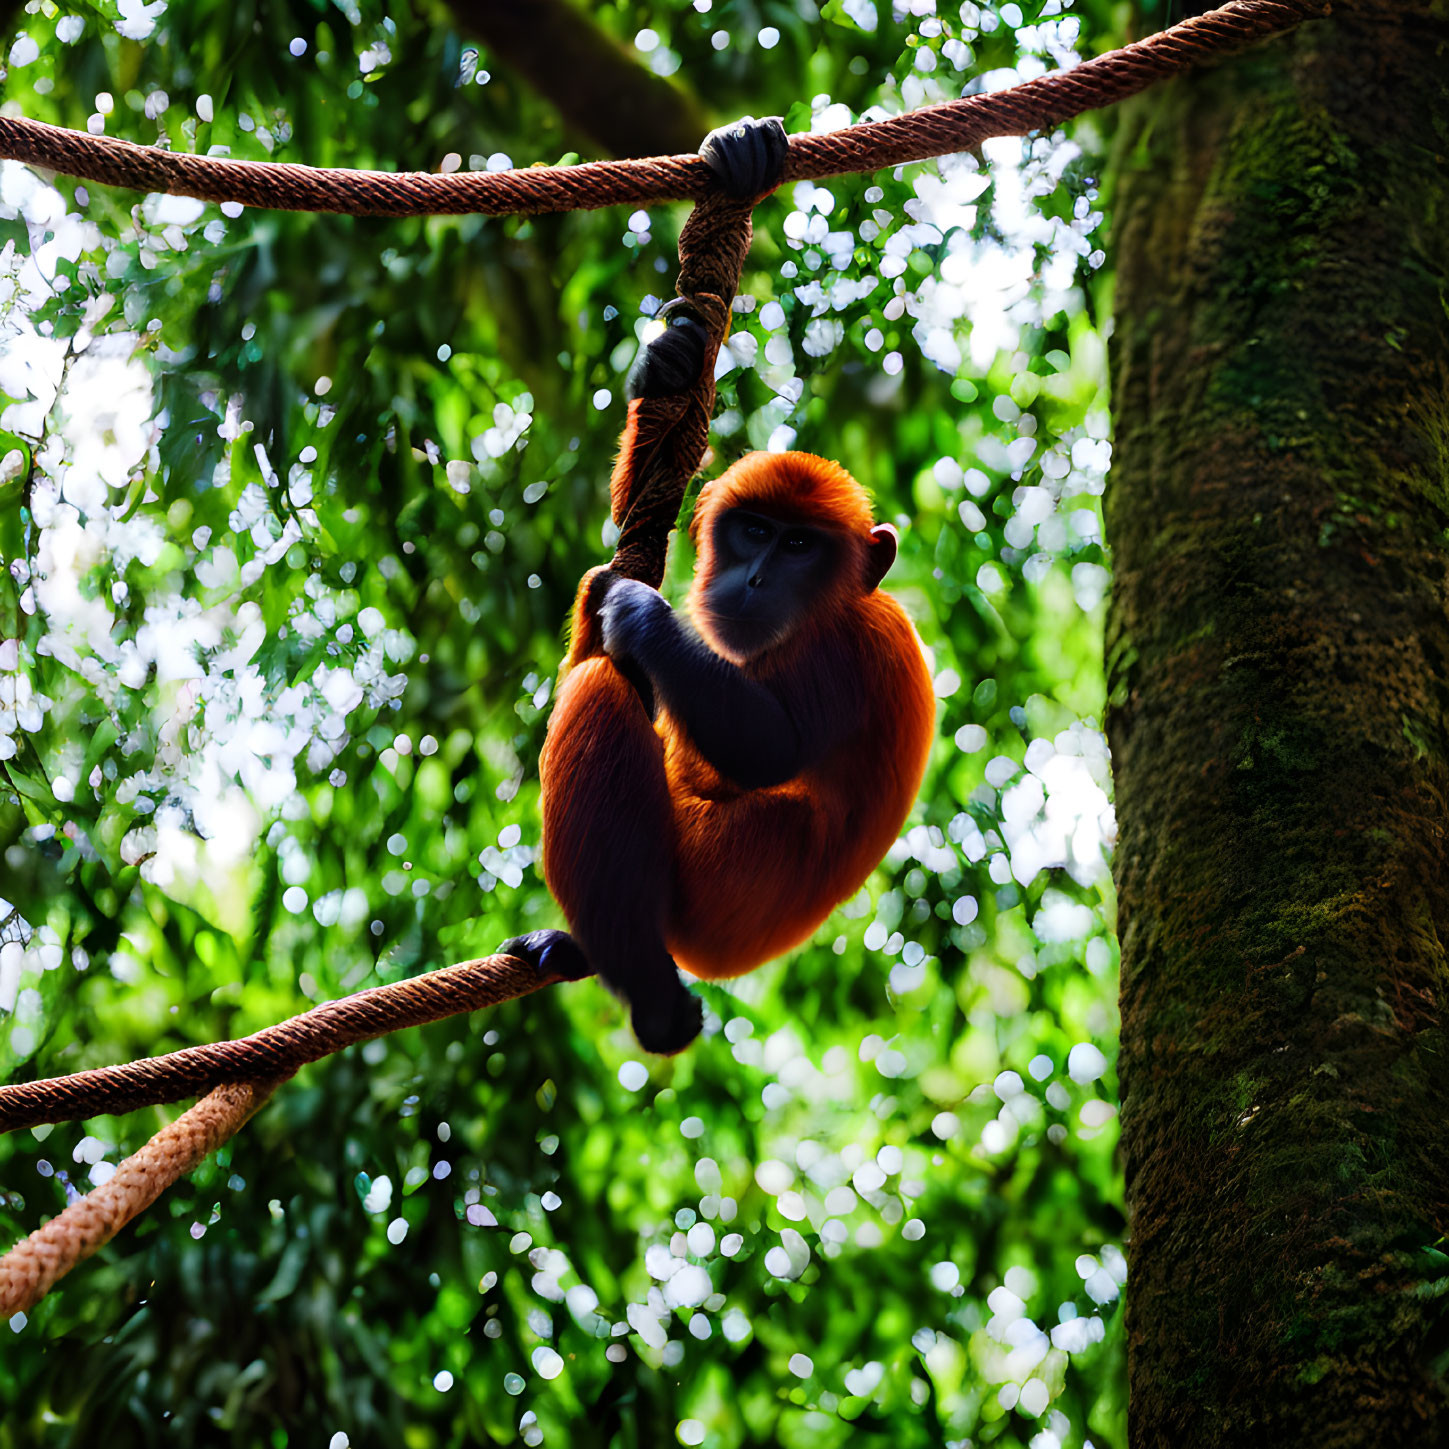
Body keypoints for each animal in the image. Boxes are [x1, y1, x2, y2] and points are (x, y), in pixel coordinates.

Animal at [504, 115, 933, 1043]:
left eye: (801, 547)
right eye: (753, 532)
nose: (756, 578)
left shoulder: (857, 642)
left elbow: (767, 748)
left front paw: (641, 613)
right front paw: (663, 365)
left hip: (709, 880)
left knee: (599, 690)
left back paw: (651, 994)